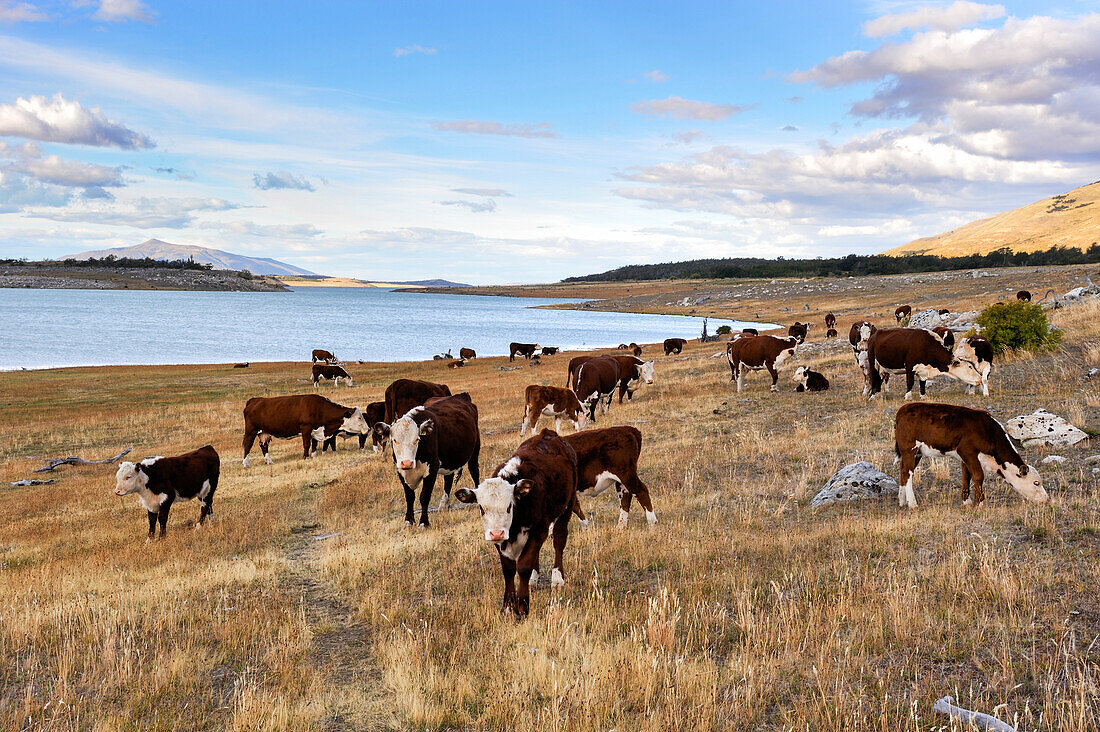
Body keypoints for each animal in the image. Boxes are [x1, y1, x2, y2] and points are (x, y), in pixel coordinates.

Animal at [376, 394, 479, 526]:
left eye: (417, 439)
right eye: (394, 440)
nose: (407, 463)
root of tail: (461, 396)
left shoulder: (432, 469)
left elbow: (424, 496)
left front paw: (424, 522)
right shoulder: (401, 471)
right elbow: (409, 496)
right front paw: (409, 521)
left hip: (474, 451)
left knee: (474, 472)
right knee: (448, 479)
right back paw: (444, 505)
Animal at [453, 429, 580, 616]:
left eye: (509, 506)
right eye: (481, 508)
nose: (496, 533)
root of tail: (547, 433)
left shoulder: (539, 529)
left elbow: (523, 566)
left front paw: (521, 607)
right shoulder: (502, 541)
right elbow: (508, 569)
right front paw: (507, 607)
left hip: (567, 506)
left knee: (559, 539)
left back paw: (557, 578)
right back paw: (534, 579)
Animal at [893, 400, 1047, 508]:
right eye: (1036, 483)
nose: (1046, 499)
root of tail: (902, 410)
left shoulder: (965, 458)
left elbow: (966, 476)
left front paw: (966, 501)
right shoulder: (968, 452)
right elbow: (978, 476)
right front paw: (979, 503)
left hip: (916, 453)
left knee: (903, 470)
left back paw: (902, 501)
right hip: (910, 449)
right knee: (908, 473)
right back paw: (912, 503)